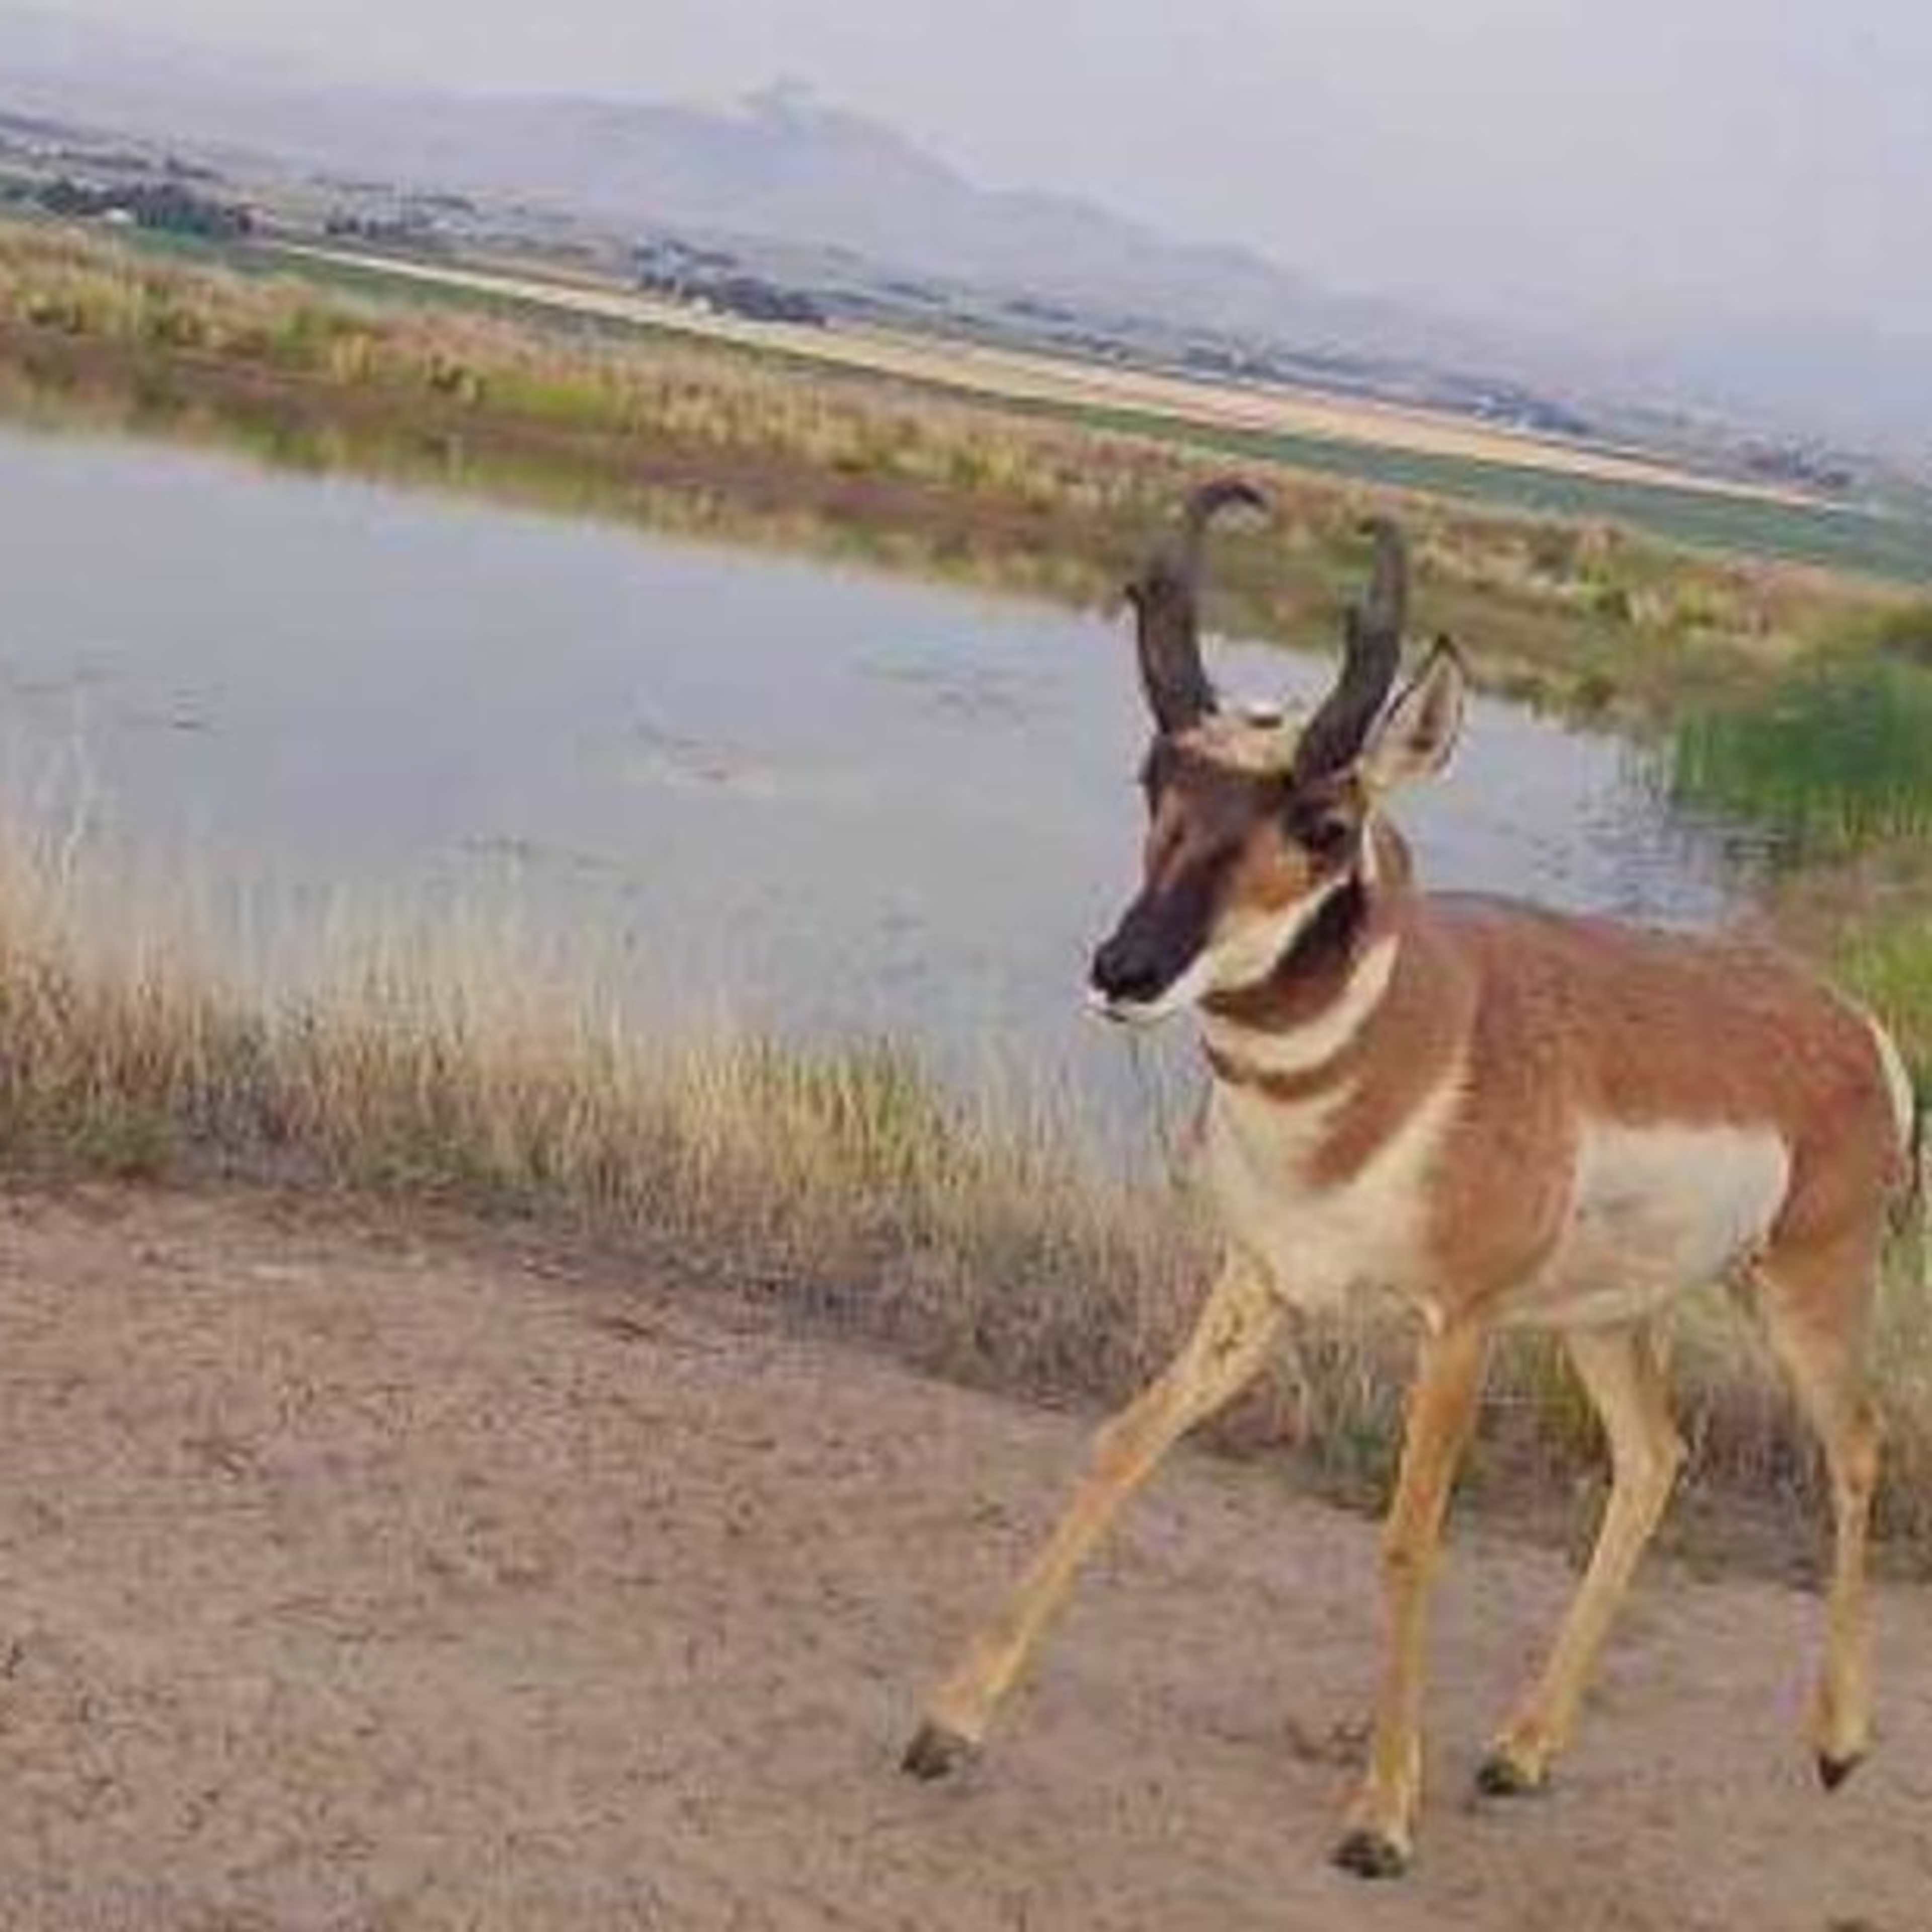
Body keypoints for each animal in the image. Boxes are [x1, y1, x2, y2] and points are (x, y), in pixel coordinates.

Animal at [900, 480, 1914, 1877]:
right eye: (1157, 778)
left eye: (1322, 823)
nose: (1125, 969)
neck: (1407, 1043)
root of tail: (1841, 1017)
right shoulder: (1262, 1283)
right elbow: (1123, 1443)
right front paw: (950, 1721)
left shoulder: (1458, 1324)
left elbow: (1408, 1534)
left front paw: (1379, 1816)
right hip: (1604, 1319)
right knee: (1656, 1459)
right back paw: (1520, 1750)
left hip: (1803, 1287)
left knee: (1858, 1448)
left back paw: (1838, 1743)